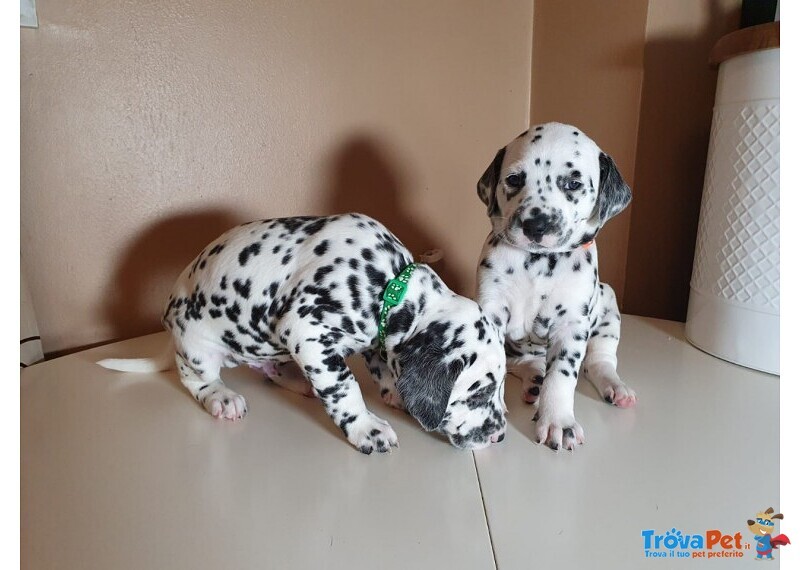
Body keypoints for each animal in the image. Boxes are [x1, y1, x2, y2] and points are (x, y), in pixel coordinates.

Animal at [95, 213, 506, 452]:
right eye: (479, 393)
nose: (500, 436)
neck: (389, 284)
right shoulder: (307, 332)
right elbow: (345, 387)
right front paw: (365, 427)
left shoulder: (372, 338)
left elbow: (382, 369)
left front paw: (395, 396)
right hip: (198, 348)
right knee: (193, 379)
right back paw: (221, 397)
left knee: (268, 369)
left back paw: (296, 381)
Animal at [476, 122, 636, 450]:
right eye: (514, 179)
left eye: (573, 183)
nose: (535, 225)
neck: (538, 263)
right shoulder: (491, 311)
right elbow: (493, 363)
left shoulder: (571, 324)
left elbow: (561, 376)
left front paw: (558, 422)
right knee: (522, 362)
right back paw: (533, 379)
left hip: (608, 306)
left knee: (599, 361)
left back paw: (615, 387)